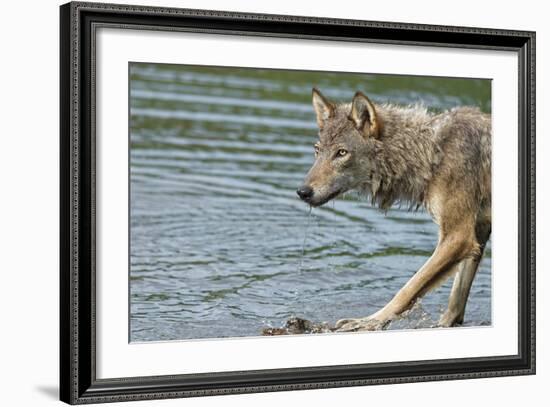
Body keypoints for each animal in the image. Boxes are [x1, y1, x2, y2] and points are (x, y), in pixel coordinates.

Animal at [300, 87, 494, 330]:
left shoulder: (458, 236)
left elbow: (408, 288)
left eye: (341, 153)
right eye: (317, 151)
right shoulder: (478, 232)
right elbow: (456, 300)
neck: (432, 154)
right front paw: (445, 323)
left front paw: (368, 322)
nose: (303, 192)